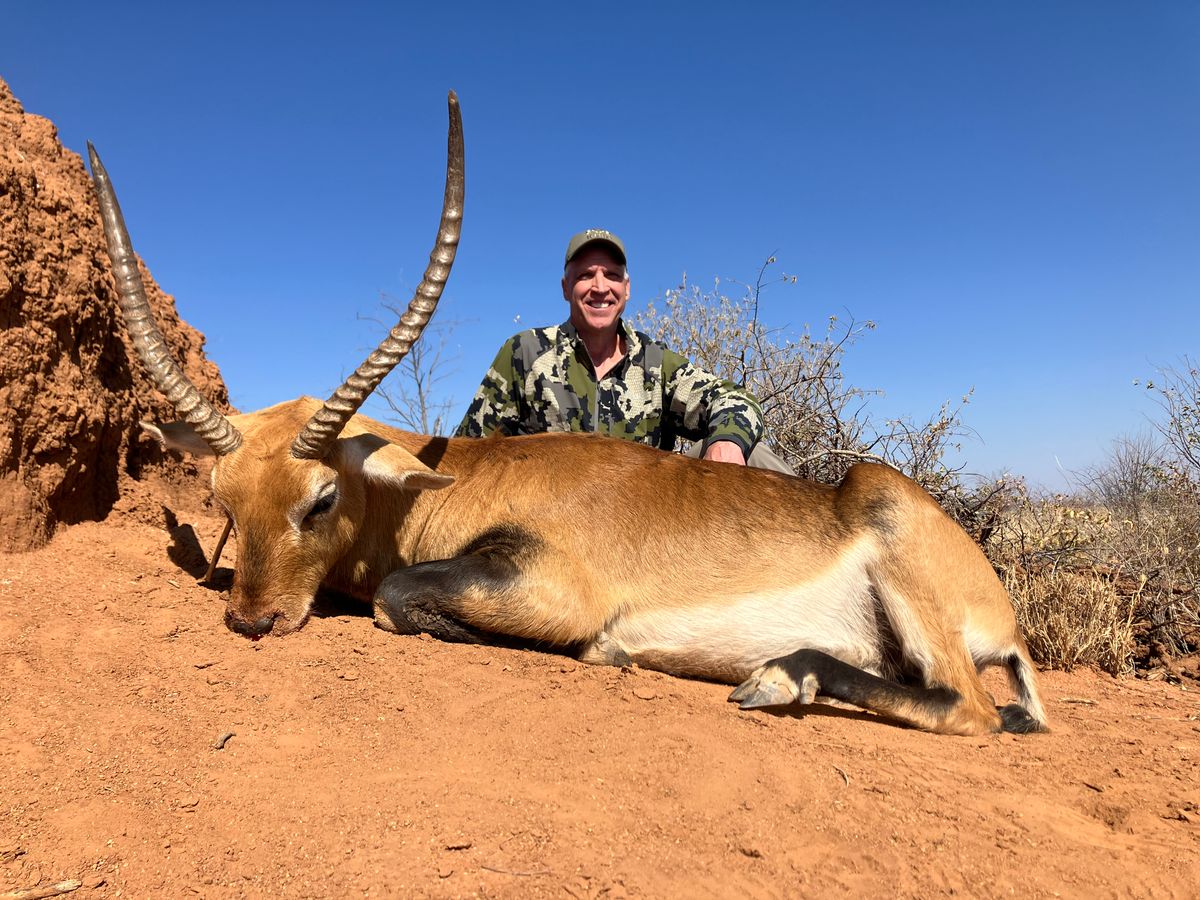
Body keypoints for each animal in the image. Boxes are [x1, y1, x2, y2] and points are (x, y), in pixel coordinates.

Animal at [88, 92, 1047, 736]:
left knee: (972, 710)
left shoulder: (547, 585)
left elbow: (400, 595)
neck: (448, 482)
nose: (252, 620)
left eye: (320, 499)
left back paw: (779, 680)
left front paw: (602, 650)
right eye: (224, 501)